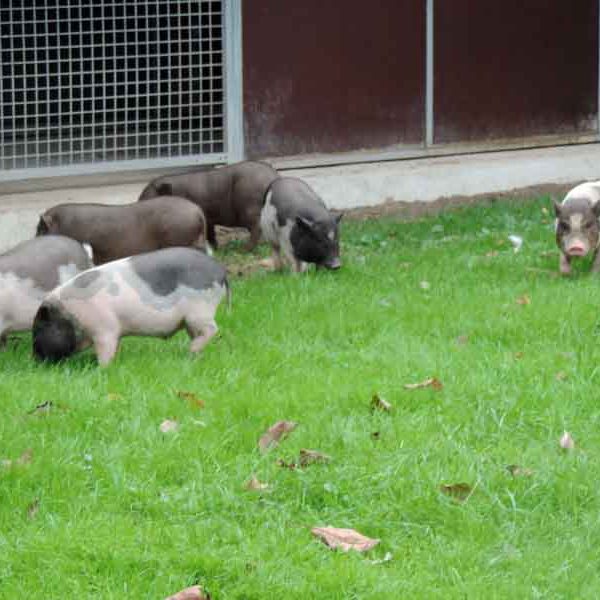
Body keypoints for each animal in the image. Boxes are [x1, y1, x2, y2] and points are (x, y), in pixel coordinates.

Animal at [32, 245, 230, 366]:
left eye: (39, 328)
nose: (35, 359)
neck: (71, 313)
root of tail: (221, 272)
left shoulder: (105, 327)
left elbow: (105, 349)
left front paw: (101, 368)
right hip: (192, 319)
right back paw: (194, 355)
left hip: (200, 311)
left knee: (212, 329)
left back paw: (191, 350)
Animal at [139, 159, 280, 248]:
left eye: (147, 198)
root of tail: (273, 177)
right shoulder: (209, 218)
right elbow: (211, 233)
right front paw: (216, 248)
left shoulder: (205, 215)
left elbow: (209, 233)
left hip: (250, 207)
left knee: (257, 227)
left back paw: (245, 249)